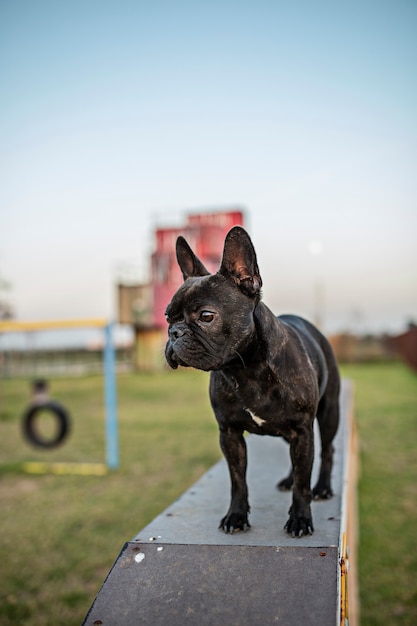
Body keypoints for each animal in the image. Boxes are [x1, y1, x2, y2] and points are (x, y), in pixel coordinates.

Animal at [164, 225, 340, 536]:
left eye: (206, 316)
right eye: (167, 317)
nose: (174, 333)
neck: (246, 369)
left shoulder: (302, 430)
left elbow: (303, 482)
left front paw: (300, 518)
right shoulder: (230, 434)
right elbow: (238, 481)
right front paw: (235, 516)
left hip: (329, 412)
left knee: (327, 450)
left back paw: (322, 487)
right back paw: (288, 479)